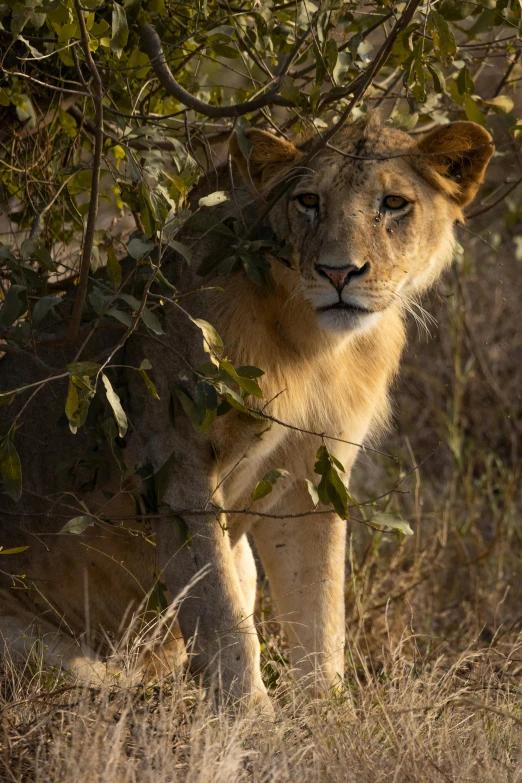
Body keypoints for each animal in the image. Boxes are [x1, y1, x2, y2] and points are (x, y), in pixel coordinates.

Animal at [0, 115, 492, 712]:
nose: (338, 273)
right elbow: (221, 613)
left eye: (394, 203)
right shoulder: (176, 463)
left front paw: (326, 711)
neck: (313, 345)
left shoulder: (314, 473)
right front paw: (252, 717)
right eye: (309, 201)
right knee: (97, 677)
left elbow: (320, 609)